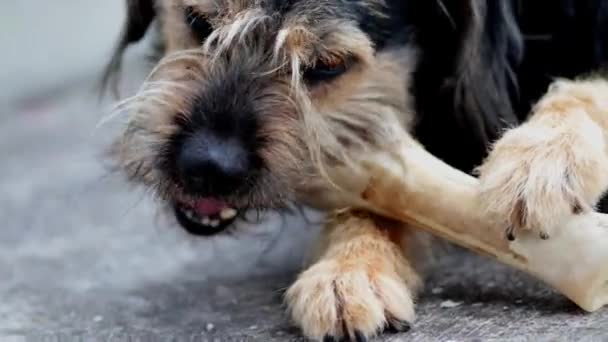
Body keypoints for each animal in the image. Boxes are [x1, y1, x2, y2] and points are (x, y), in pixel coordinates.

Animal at [104, 1, 608, 340]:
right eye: (197, 20)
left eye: (327, 66)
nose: (207, 166)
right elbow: (380, 188)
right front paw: (351, 266)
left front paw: (545, 156)